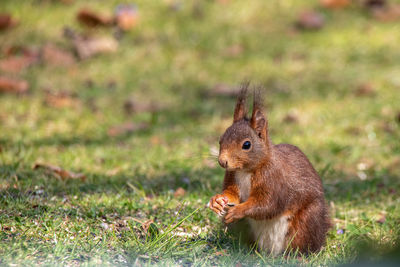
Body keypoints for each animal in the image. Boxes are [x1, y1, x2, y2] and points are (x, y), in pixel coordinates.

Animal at [208, 83, 330, 255]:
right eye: (221, 139)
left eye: (247, 144)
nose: (222, 162)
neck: (246, 171)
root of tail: (271, 251)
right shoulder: (232, 175)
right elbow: (231, 193)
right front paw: (217, 200)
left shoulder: (274, 179)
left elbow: (267, 204)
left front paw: (239, 210)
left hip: (307, 221)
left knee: (303, 245)